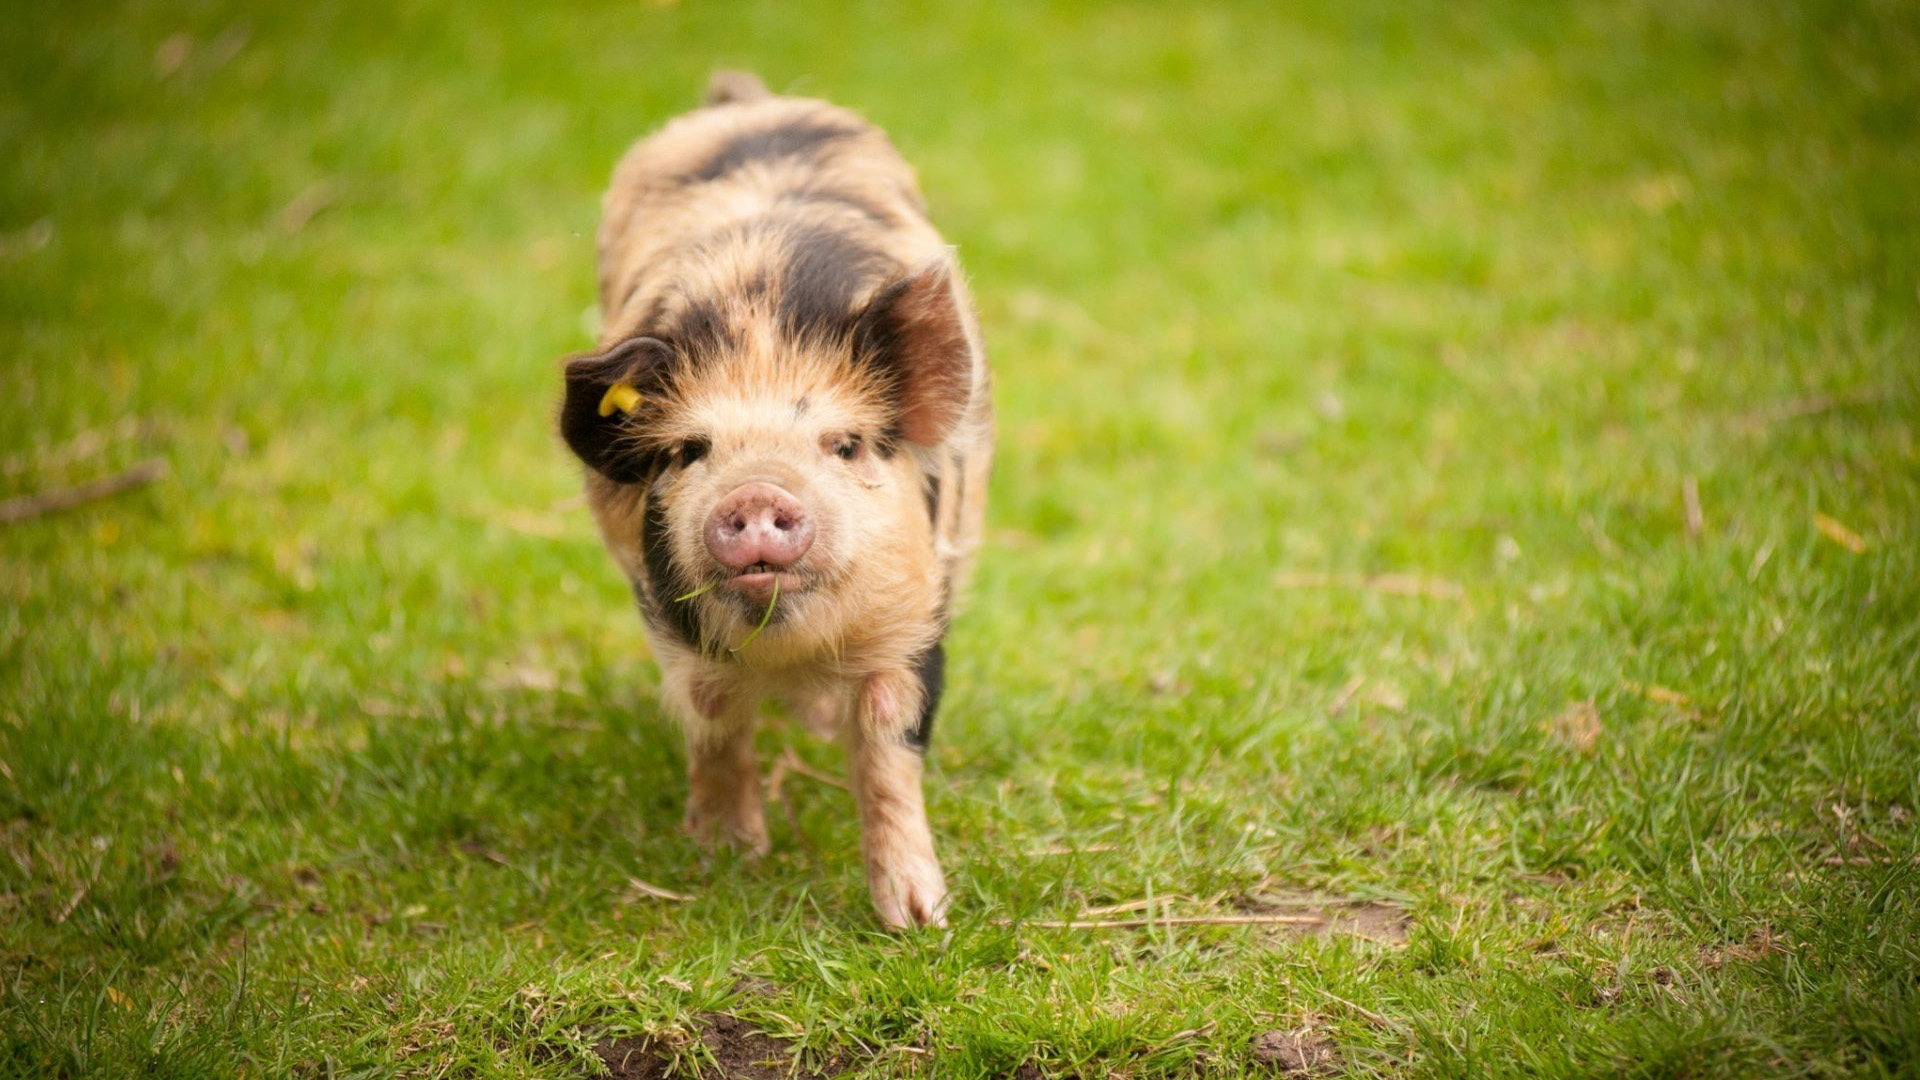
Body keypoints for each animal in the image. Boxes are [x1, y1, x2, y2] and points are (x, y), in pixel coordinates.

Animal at [556, 71, 990, 926]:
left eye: (845, 445)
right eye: (689, 451)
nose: (757, 492)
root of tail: (747, 98)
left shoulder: (915, 617)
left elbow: (889, 750)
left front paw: (918, 920)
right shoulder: (672, 627)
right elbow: (715, 723)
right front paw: (726, 854)